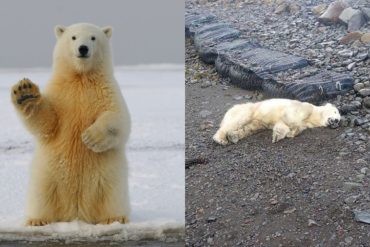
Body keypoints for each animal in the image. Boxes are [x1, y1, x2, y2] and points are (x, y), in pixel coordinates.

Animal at [11, 23, 132, 226]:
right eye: (73, 37)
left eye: (93, 38)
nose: (83, 48)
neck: (81, 77)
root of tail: (76, 212)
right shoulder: (60, 94)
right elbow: (47, 122)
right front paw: (25, 93)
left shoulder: (107, 91)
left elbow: (118, 118)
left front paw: (90, 138)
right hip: (47, 175)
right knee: (41, 195)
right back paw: (37, 220)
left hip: (110, 176)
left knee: (112, 195)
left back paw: (114, 218)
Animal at [214, 98, 342, 145]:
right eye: (335, 112)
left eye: (339, 120)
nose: (336, 121)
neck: (313, 116)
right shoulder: (304, 108)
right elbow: (290, 118)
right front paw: (289, 131)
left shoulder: (305, 122)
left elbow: (285, 126)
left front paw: (281, 135)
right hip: (247, 111)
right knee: (237, 121)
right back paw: (220, 139)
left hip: (256, 122)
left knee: (249, 128)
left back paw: (233, 136)